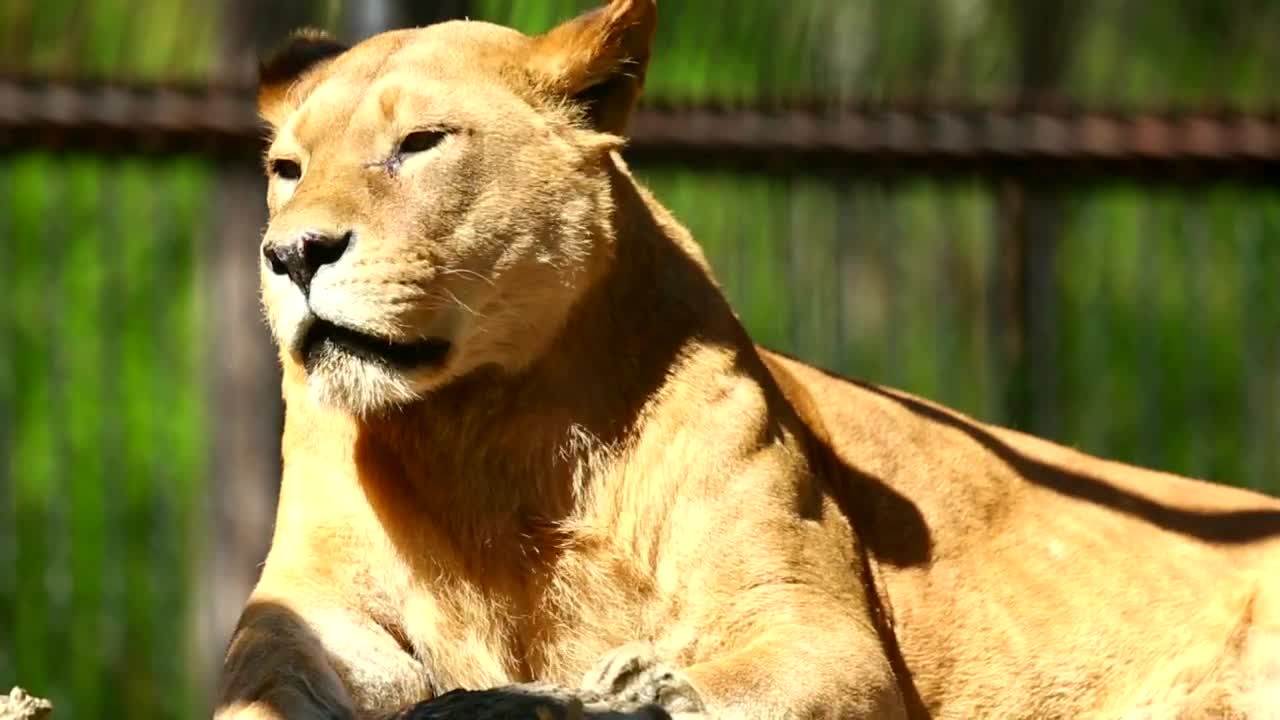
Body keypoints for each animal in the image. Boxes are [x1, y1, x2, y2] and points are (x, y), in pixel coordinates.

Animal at [214, 1, 1280, 718]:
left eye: (420, 143)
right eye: (288, 170)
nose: (293, 254)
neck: (474, 430)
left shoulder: (823, 633)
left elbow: (727, 683)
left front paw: (611, 690)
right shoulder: (314, 604)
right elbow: (266, 671)